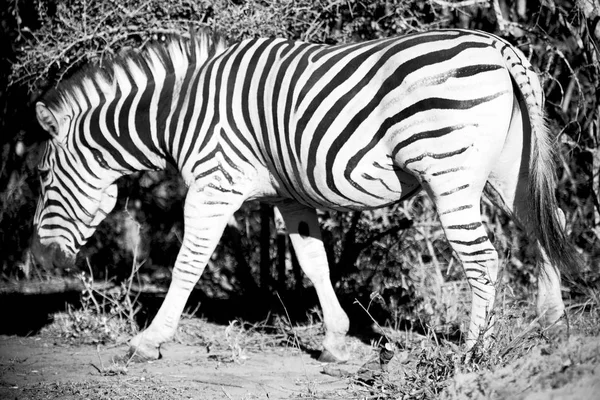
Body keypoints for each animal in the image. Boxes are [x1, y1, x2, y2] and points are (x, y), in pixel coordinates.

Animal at [30, 27, 580, 360]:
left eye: (42, 176)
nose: (40, 260)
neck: (179, 113)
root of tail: (495, 45)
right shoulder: (288, 195)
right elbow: (314, 261)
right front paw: (336, 340)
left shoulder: (213, 184)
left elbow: (188, 265)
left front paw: (149, 341)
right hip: (510, 167)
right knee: (547, 226)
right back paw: (553, 328)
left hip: (449, 172)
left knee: (483, 258)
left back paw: (470, 353)